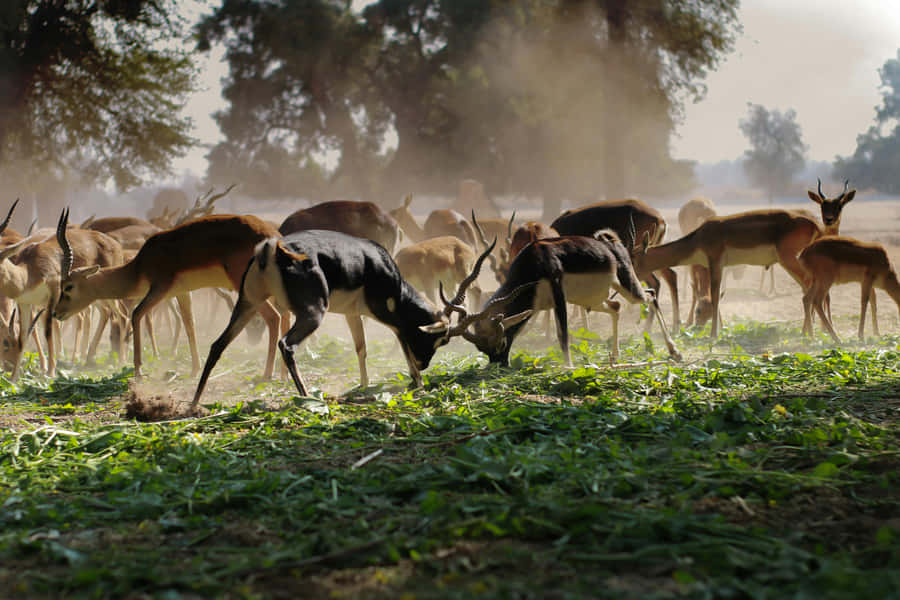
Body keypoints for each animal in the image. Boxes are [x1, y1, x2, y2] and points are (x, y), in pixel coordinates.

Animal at [54, 210, 283, 380]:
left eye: (68, 287)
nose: (56, 313)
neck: (140, 266)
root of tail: (270, 234)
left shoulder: (160, 288)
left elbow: (137, 314)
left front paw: (138, 371)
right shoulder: (182, 293)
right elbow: (189, 324)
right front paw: (194, 369)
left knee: (274, 317)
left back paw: (267, 374)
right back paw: (283, 374)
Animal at [192, 230, 503, 409]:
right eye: (441, 339)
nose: (426, 365)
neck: (381, 266)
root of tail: (274, 250)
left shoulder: (353, 314)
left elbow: (361, 348)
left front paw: (364, 386)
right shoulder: (389, 315)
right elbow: (402, 343)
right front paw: (418, 383)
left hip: (247, 304)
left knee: (217, 345)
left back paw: (194, 405)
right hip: (312, 313)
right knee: (286, 345)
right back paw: (307, 397)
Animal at [446, 231, 683, 367]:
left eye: (500, 342)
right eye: (482, 350)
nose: (499, 365)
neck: (534, 262)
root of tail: (611, 244)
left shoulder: (559, 294)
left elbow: (563, 334)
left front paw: (568, 368)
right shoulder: (543, 305)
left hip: (629, 288)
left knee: (650, 295)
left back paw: (675, 351)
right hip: (592, 299)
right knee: (616, 306)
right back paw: (615, 357)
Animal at [634, 209, 824, 338]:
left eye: (633, 256)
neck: (699, 238)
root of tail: (812, 223)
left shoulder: (715, 262)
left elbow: (716, 295)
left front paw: (713, 335)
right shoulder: (719, 266)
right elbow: (717, 295)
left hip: (788, 260)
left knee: (809, 288)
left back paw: (810, 333)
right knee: (808, 288)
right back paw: (807, 331)